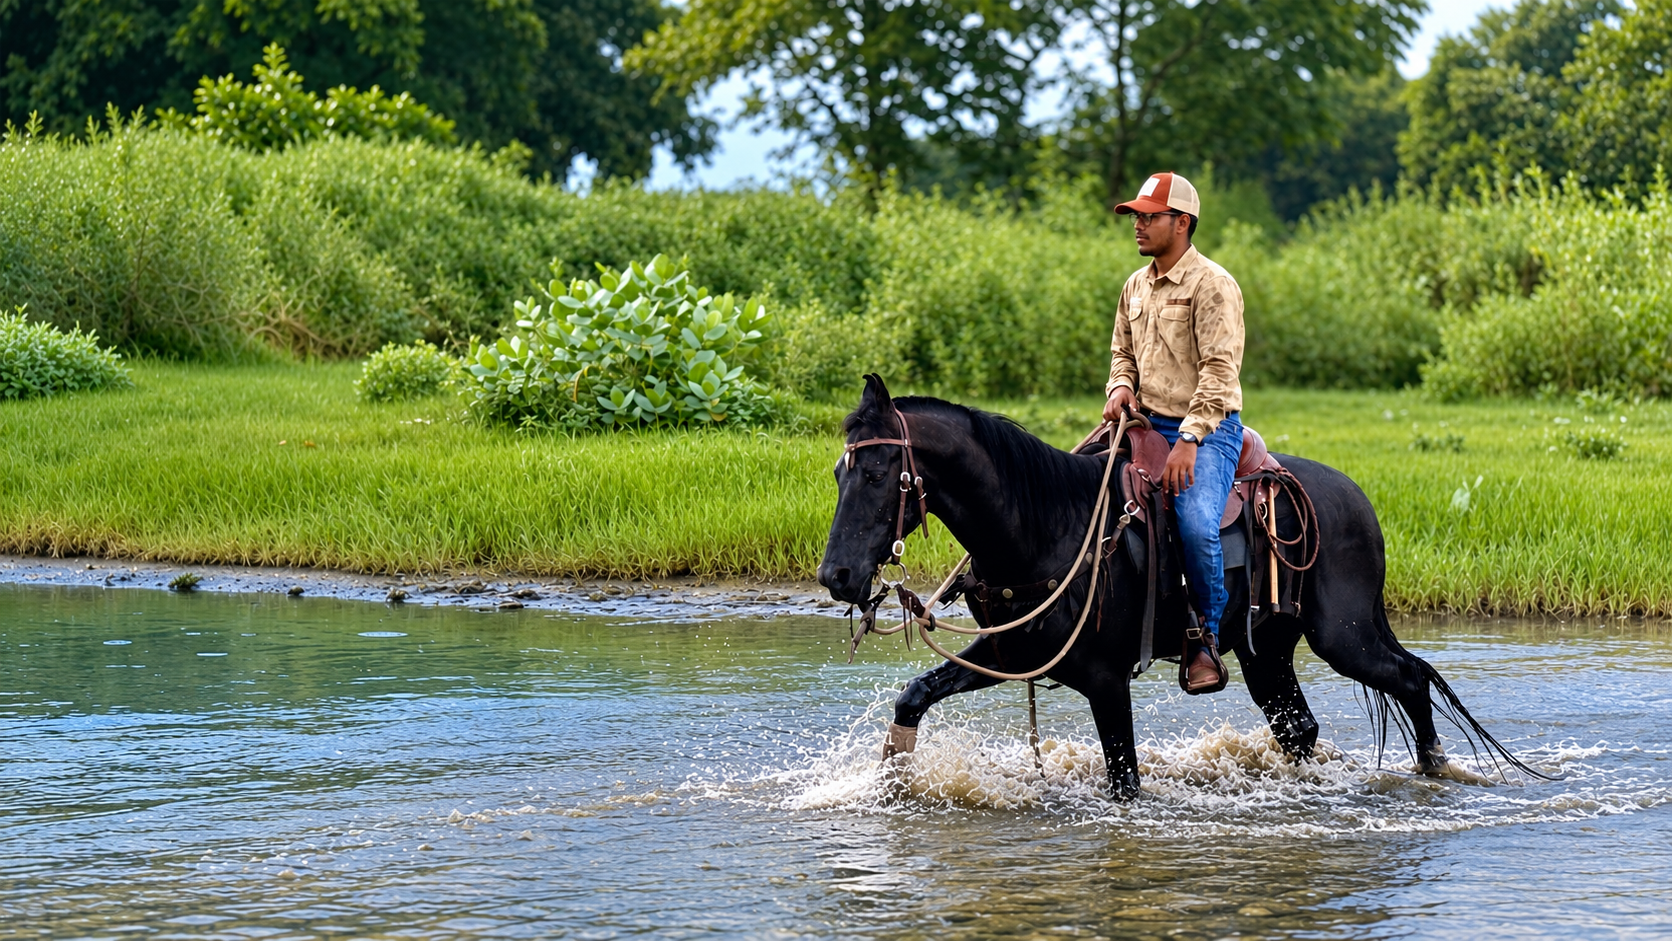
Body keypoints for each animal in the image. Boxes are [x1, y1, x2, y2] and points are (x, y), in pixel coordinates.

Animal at [816, 375, 1543, 799]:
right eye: (839, 471)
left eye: (878, 473)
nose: (836, 575)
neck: (1045, 524)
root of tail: (1357, 499)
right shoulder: (1005, 653)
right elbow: (914, 697)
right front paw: (891, 781)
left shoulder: (1105, 680)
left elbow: (1125, 780)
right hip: (1266, 648)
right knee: (1300, 726)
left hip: (1346, 634)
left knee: (1413, 679)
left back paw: (1437, 770)